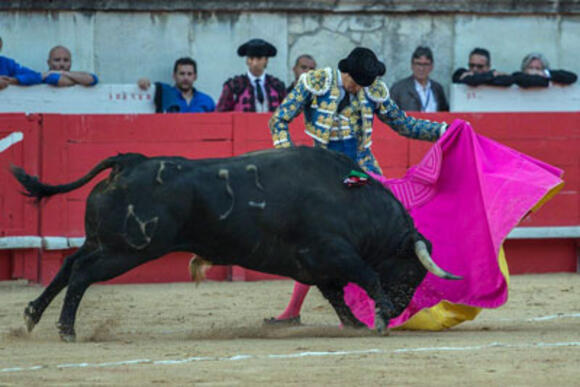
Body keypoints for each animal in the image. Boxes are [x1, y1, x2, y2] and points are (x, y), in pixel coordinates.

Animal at [11, 146, 460, 342]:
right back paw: (66, 329)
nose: (401, 309)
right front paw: (380, 317)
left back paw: (32, 315)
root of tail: (128, 161)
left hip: (103, 241)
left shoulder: (316, 264)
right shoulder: (333, 253)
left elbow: (336, 296)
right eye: (412, 270)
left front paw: (355, 324)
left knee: (68, 265)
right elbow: (366, 276)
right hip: (126, 250)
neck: (351, 198)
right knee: (83, 273)